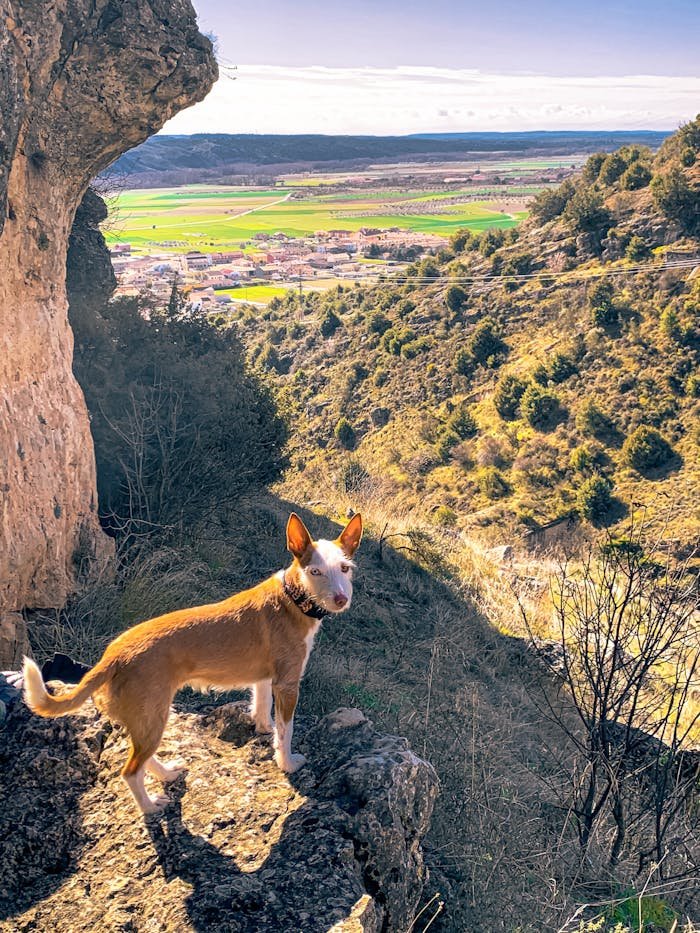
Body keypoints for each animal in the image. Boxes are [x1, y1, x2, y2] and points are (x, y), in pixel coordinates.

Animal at [23, 512, 360, 812]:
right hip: (153, 714)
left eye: (345, 568)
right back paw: (149, 807)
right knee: (130, 771)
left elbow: (263, 707)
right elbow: (286, 730)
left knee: (141, 755)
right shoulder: (288, 684)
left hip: (146, 717)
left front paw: (264, 730)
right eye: (315, 571)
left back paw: (166, 773)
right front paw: (287, 763)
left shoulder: (266, 679)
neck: (293, 597)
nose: (341, 600)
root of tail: (113, 655)